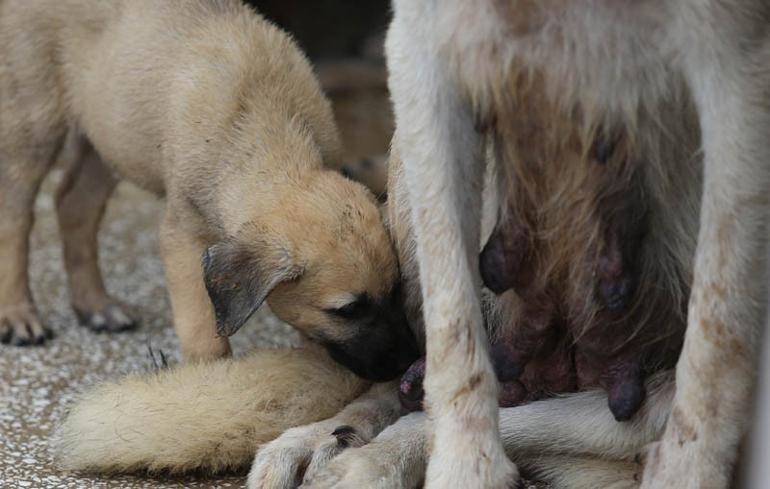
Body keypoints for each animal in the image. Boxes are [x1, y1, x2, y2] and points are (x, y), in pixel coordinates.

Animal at [0, 0, 416, 378]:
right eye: (347, 311)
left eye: (397, 290)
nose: (407, 362)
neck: (265, 136)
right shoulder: (183, 239)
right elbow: (202, 325)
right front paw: (210, 380)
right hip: (33, 123)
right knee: (16, 217)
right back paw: (18, 314)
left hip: (109, 134)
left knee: (74, 203)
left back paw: (95, 306)